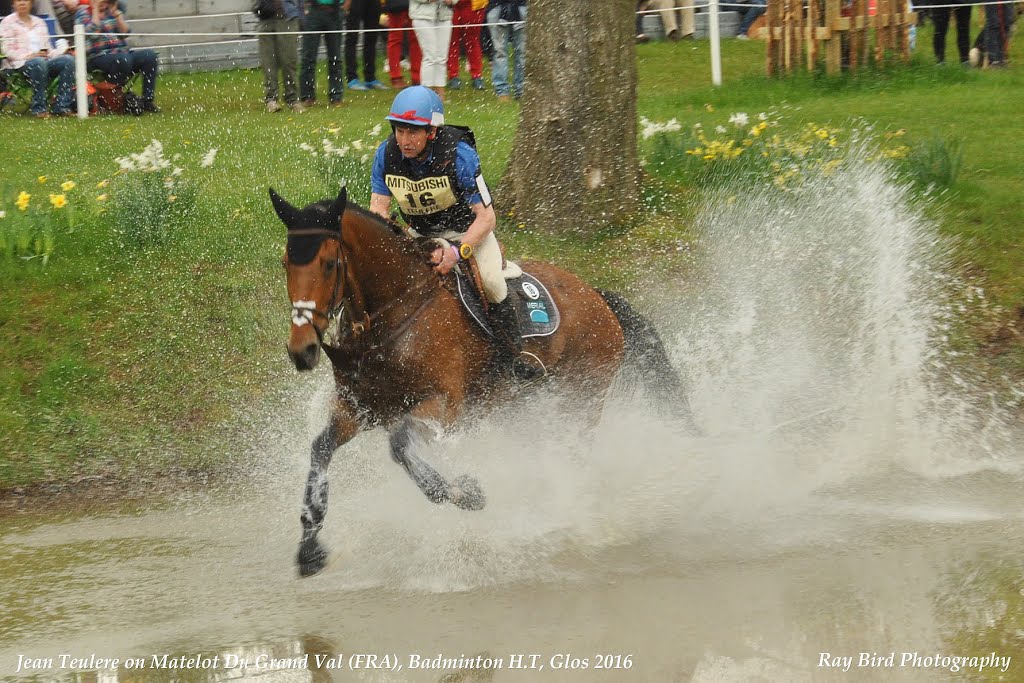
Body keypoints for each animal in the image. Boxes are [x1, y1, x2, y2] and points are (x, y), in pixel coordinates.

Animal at [268, 185, 696, 577]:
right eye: (287, 262)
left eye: (328, 264)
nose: (302, 350)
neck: (395, 313)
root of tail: (599, 298)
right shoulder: (358, 410)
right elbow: (320, 452)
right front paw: (310, 551)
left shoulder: (443, 405)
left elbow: (401, 446)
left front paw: (466, 493)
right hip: (522, 410)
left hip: (581, 399)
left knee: (573, 457)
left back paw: (568, 522)